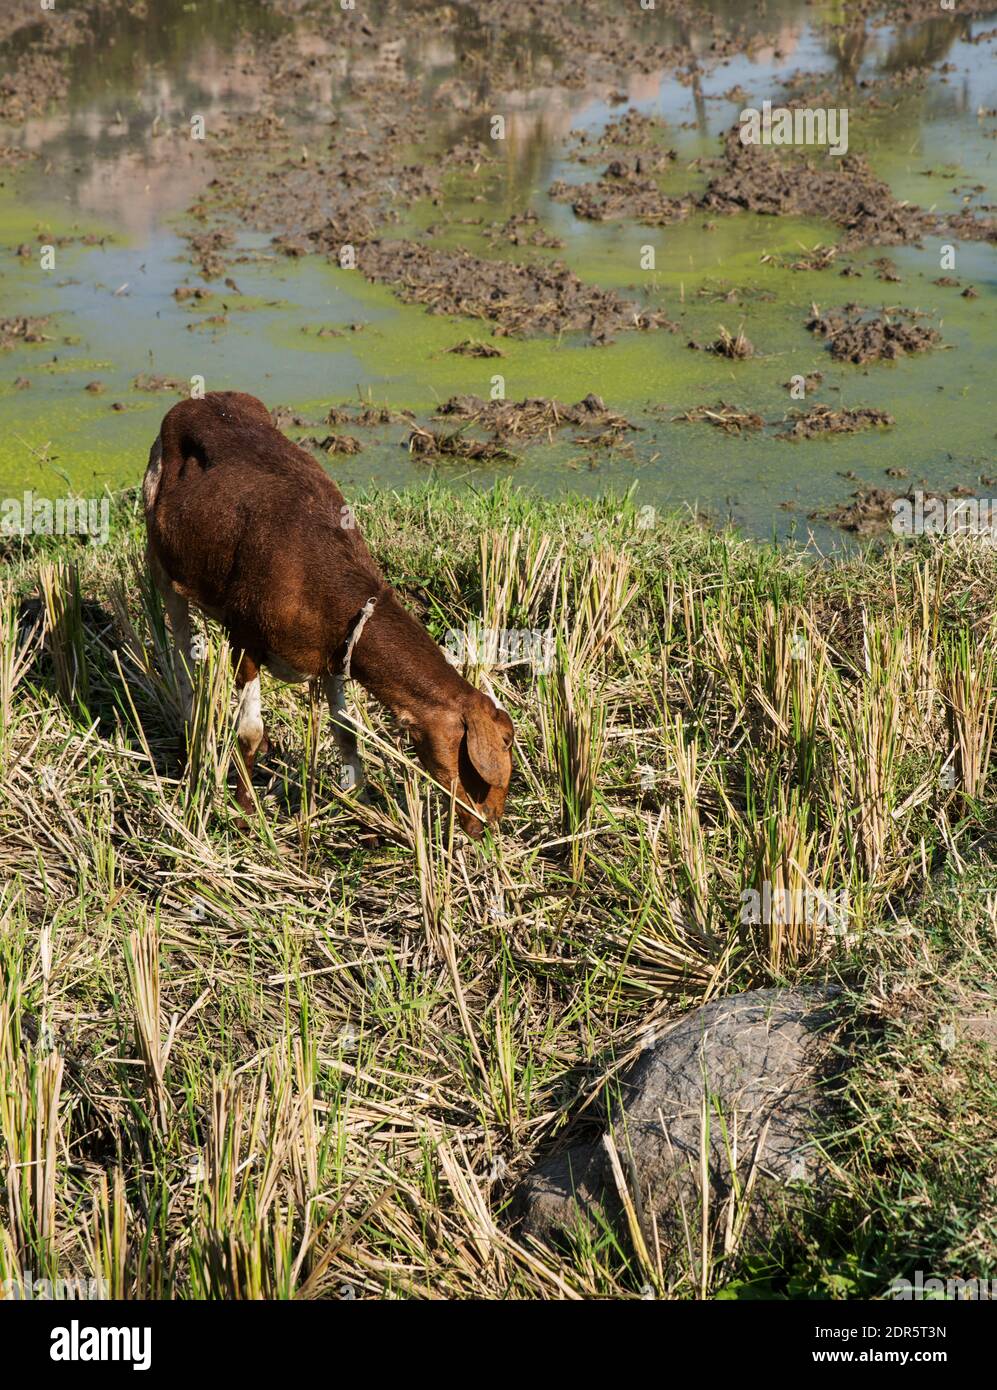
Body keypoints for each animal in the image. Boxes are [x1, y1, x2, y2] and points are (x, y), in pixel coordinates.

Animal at [141, 386, 514, 834]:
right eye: (500, 747)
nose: (488, 823)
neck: (316, 572)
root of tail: (198, 399)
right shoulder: (244, 635)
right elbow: (248, 730)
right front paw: (246, 814)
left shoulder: (339, 648)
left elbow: (346, 731)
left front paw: (361, 807)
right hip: (159, 553)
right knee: (178, 648)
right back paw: (190, 727)